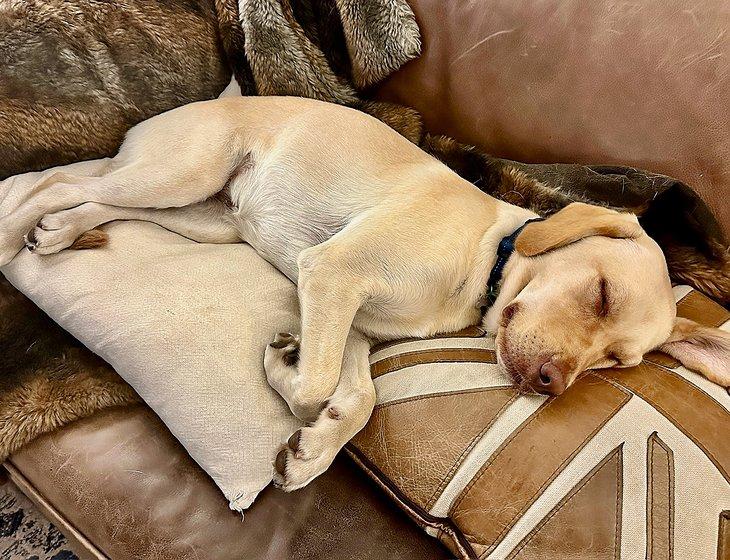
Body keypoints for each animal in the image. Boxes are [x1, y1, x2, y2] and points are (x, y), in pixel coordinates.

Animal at [2, 97, 724, 490]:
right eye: (601, 294)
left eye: (616, 363)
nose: (551, 383)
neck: (483, 257)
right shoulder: (332, 272)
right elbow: (316, 386)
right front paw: (285, 370)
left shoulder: (349, 320)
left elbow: (356, 398)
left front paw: (311, 449)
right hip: (183, 172)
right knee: (57, 182)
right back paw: (16, 232)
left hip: (201, 214)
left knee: (94, 201)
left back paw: (58, 234)